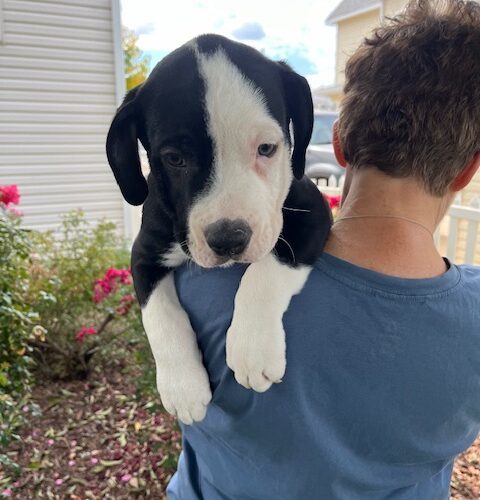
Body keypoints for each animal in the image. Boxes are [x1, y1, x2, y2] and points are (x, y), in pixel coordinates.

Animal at [107, 35, 332, 424]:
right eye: (174, 158)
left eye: (267, 148)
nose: (228, 239)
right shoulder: (144, 253)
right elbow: (159, 315)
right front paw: (182, 387)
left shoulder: (313, 212)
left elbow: (266, 271)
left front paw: (252, 347)